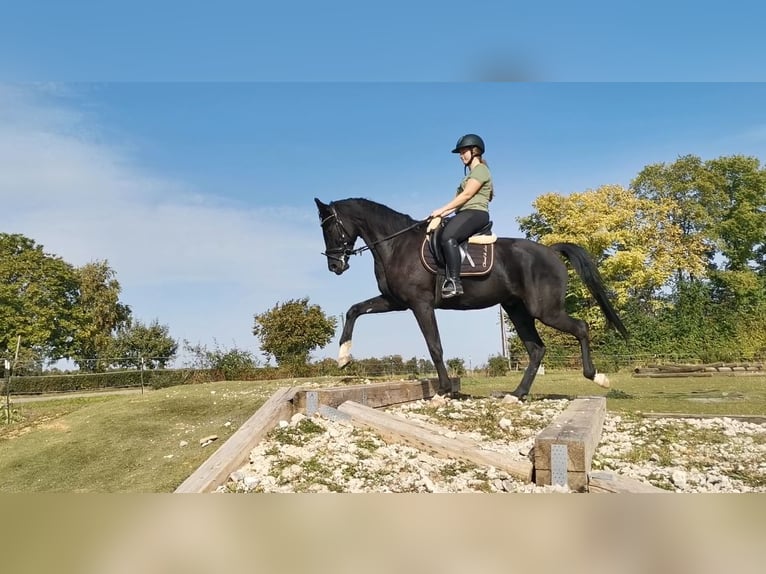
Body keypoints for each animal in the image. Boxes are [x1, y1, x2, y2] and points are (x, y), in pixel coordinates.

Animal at [316, 198, 628, 400]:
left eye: (330, 228)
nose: (334, 266)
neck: (395, 245)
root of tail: (551, 251)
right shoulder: (395, 301)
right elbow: (354, 310)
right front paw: (343, 357)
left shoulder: (420, 304)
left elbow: (435, 346)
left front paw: (443, 391)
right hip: (517, 310)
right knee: (536, 349)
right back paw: (517, 394)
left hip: (545, 310)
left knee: (580, 328)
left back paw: (597, 377)